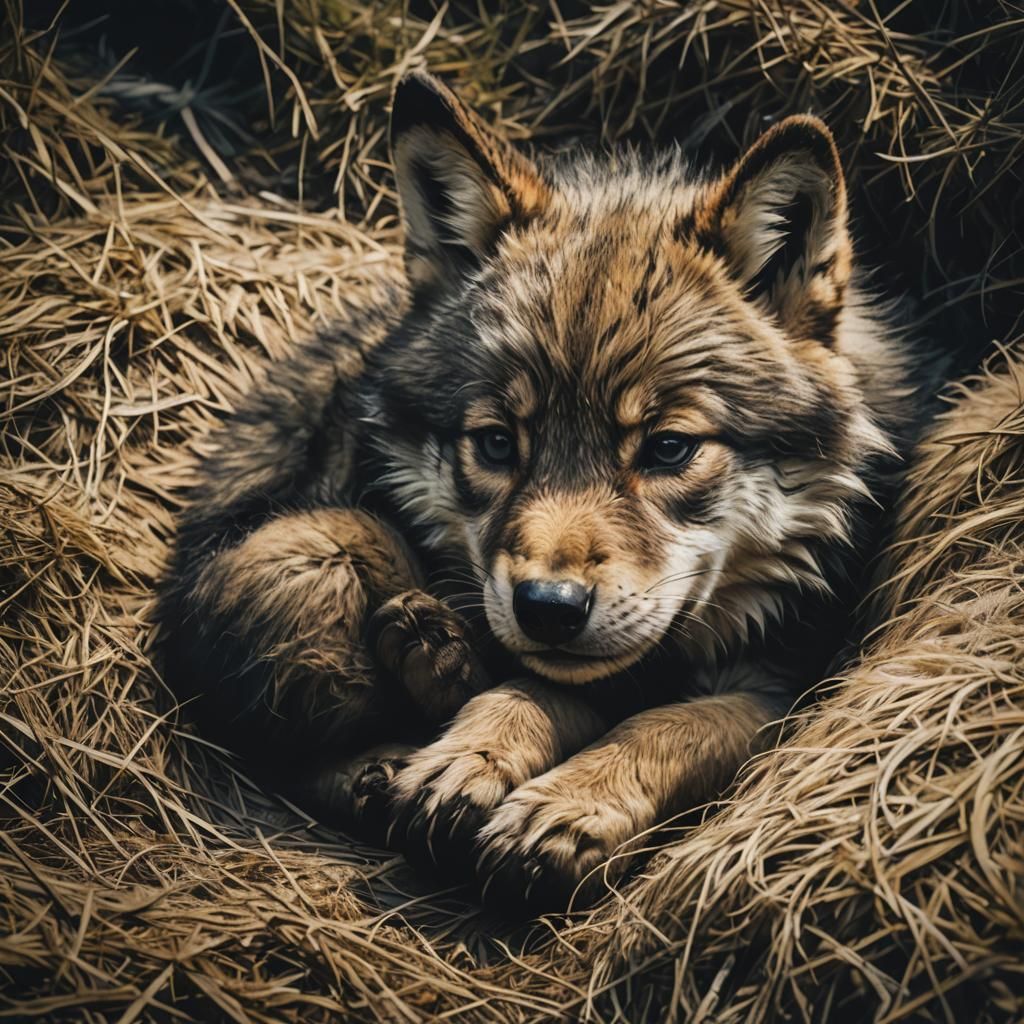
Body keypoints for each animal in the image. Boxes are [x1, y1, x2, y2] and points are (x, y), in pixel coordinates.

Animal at [157, 70, 923, 912]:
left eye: (668, 448)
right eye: (498, 443)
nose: (548, 608)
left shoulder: (782, 688)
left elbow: (668, 726)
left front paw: (564, 805)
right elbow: (531, 688)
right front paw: (473, 752)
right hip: (306, 551)